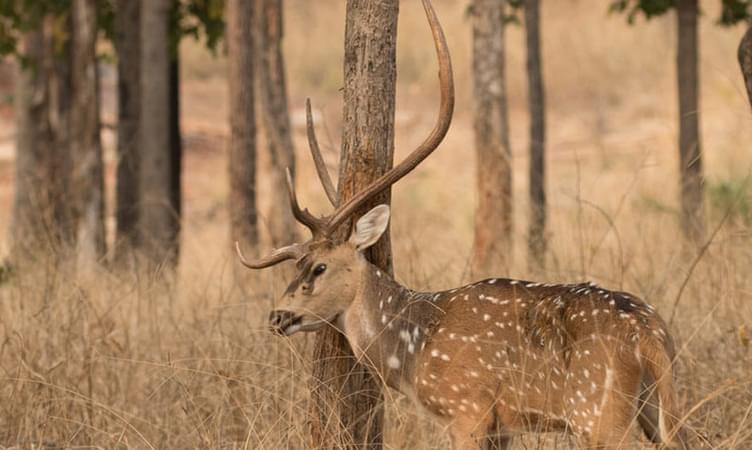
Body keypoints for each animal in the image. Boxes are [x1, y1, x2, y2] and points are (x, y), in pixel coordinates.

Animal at [235, 0, 688, 446]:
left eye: (320, 267)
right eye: (296, 264)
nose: (278, 316)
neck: (413, 352)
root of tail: (651, 335)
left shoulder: (467, 408)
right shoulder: (503, 426)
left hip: (598, 412)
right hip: (655, 408)